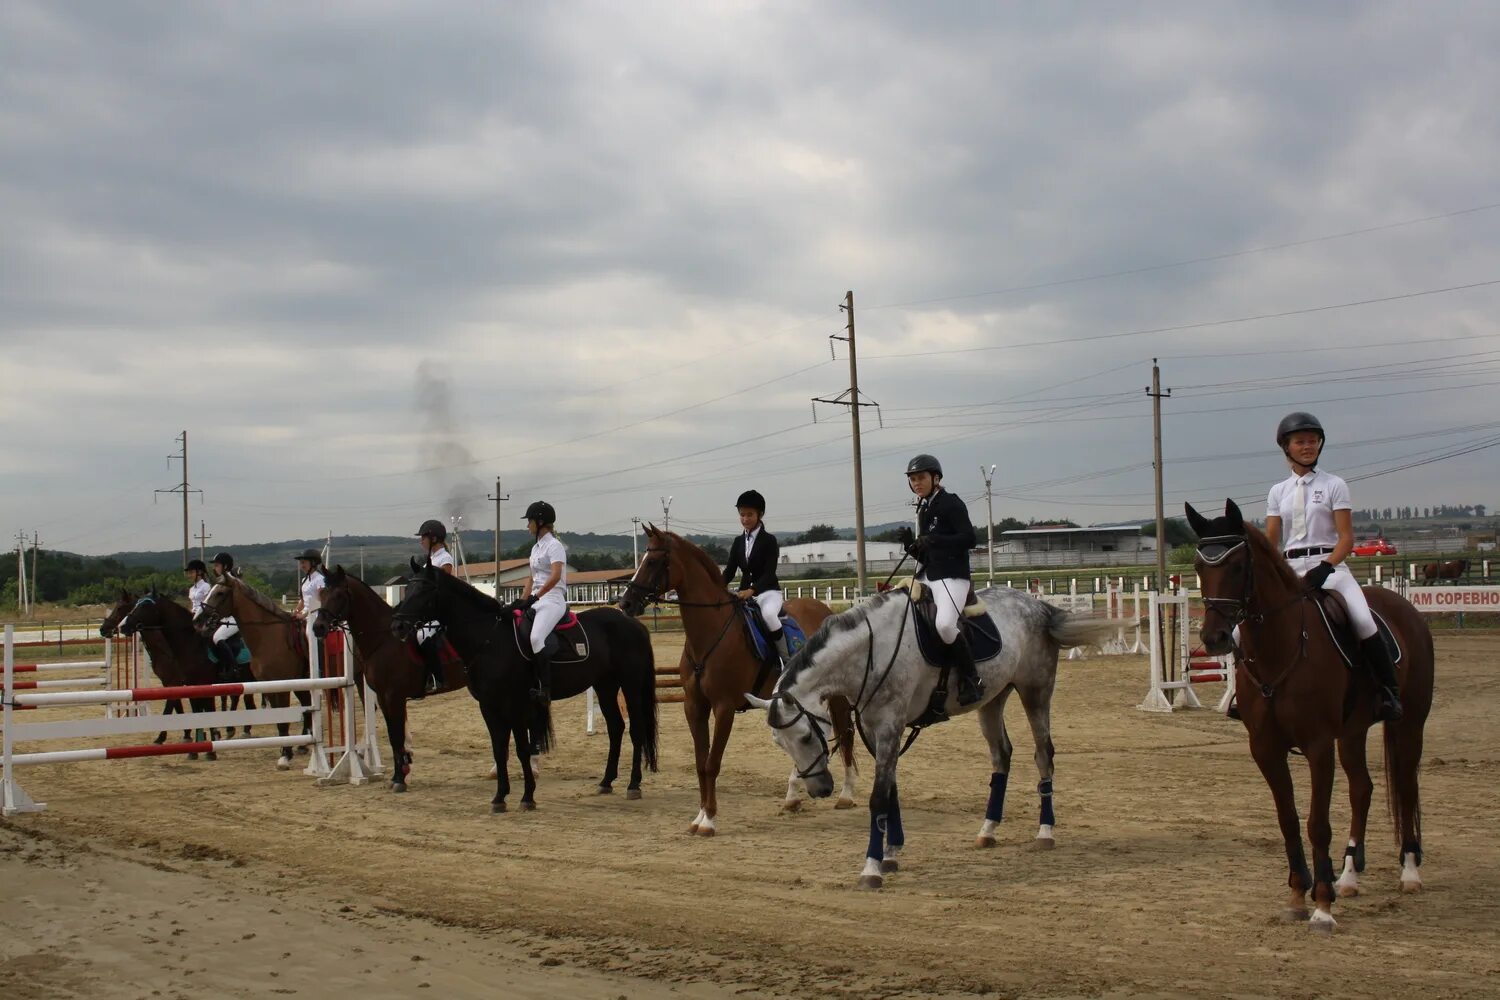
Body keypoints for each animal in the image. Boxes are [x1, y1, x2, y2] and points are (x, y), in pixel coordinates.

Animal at [193, 569, 313, 773]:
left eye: (220, 593)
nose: (198, 620)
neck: (269, 636)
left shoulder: (281, 685)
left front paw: (284, 756)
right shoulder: (268, 685)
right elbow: (279, 720)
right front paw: (286, 752)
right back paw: (304, 744)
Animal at [615, 527, 858, 839]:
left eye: (654, 562)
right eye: (643, 557)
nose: (625, 604)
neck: (710, 631)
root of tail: (825, 610)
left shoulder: (724, 707)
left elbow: (712, 763)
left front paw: (709, 820)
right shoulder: (694, 706)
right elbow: (700, 763)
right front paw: (698, 816)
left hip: (835, 695)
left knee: (846, 733)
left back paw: (846, 795)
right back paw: (793, 797)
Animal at [750, 581, 1116, 887]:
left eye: (805, 737)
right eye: (780, 744)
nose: (820, 790)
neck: (872, 651)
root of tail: (1038, 606)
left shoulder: (889, 727)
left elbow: (879, 797)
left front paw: (871, 867)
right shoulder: (875, 728)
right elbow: (891, 791)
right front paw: (891, 853)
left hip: (1035, 691)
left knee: (1043, 755)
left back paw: (1045, 832)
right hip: (992, 700)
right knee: (1001, 756)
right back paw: (988, 830)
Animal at [1188, 497, 1434, 929]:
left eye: (1236, 566)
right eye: (1201, 567)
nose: (1214, 638)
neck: (1280, 647)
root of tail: (1405, 607)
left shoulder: (1318, 745)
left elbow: (1317, 824)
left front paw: (1321, 905)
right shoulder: (1265, 748)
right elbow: (1287, 820)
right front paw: (1297, 895)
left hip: (1409, 724)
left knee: (1406, 786)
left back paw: (1408, 872)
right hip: (1352, 732)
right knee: (1362, 789)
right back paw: (1349, 877)